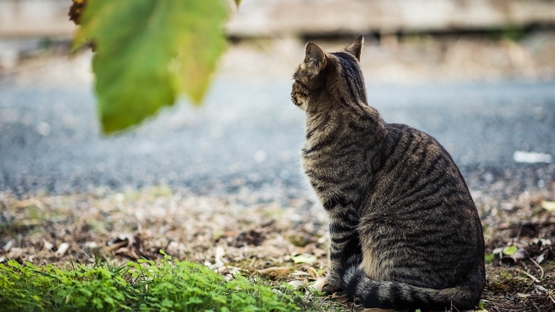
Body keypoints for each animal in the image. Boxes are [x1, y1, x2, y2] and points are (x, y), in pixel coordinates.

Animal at [292, 36, 486, 310]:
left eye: (294, 78)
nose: (289, 94)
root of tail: (476, 276)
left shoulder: (342, 209)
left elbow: (337, 253)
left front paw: (329, 285)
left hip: (377, 229)